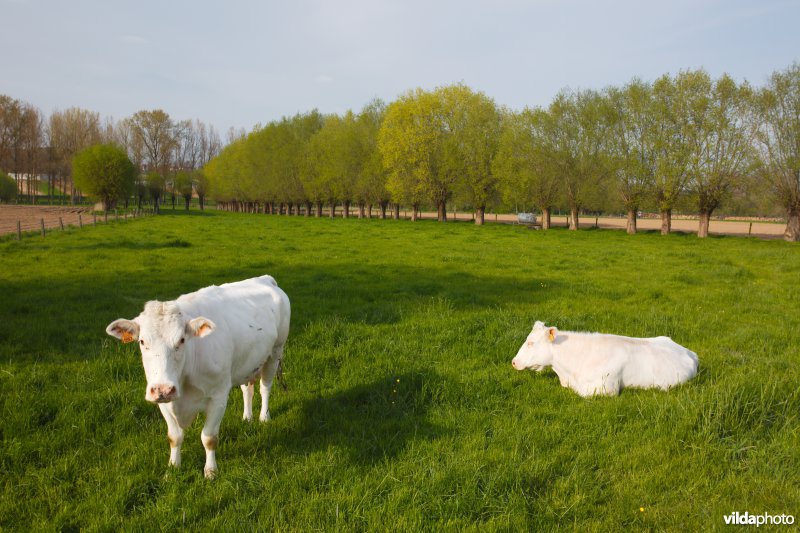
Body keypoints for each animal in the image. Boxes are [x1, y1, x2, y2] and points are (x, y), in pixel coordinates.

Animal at [106, 274, 290, 478]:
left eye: (181, 340)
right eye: (142, 341)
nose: (163, 389)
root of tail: (265, 278)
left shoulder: (219, 397)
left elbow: (209, 437)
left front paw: (210, 471)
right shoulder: (164, 401)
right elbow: (174, 437)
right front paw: (173, 468)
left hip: (276, 351)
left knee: (265, 387)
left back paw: (264, 417)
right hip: (247, 363)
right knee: (247, 389)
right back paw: (247, 417)